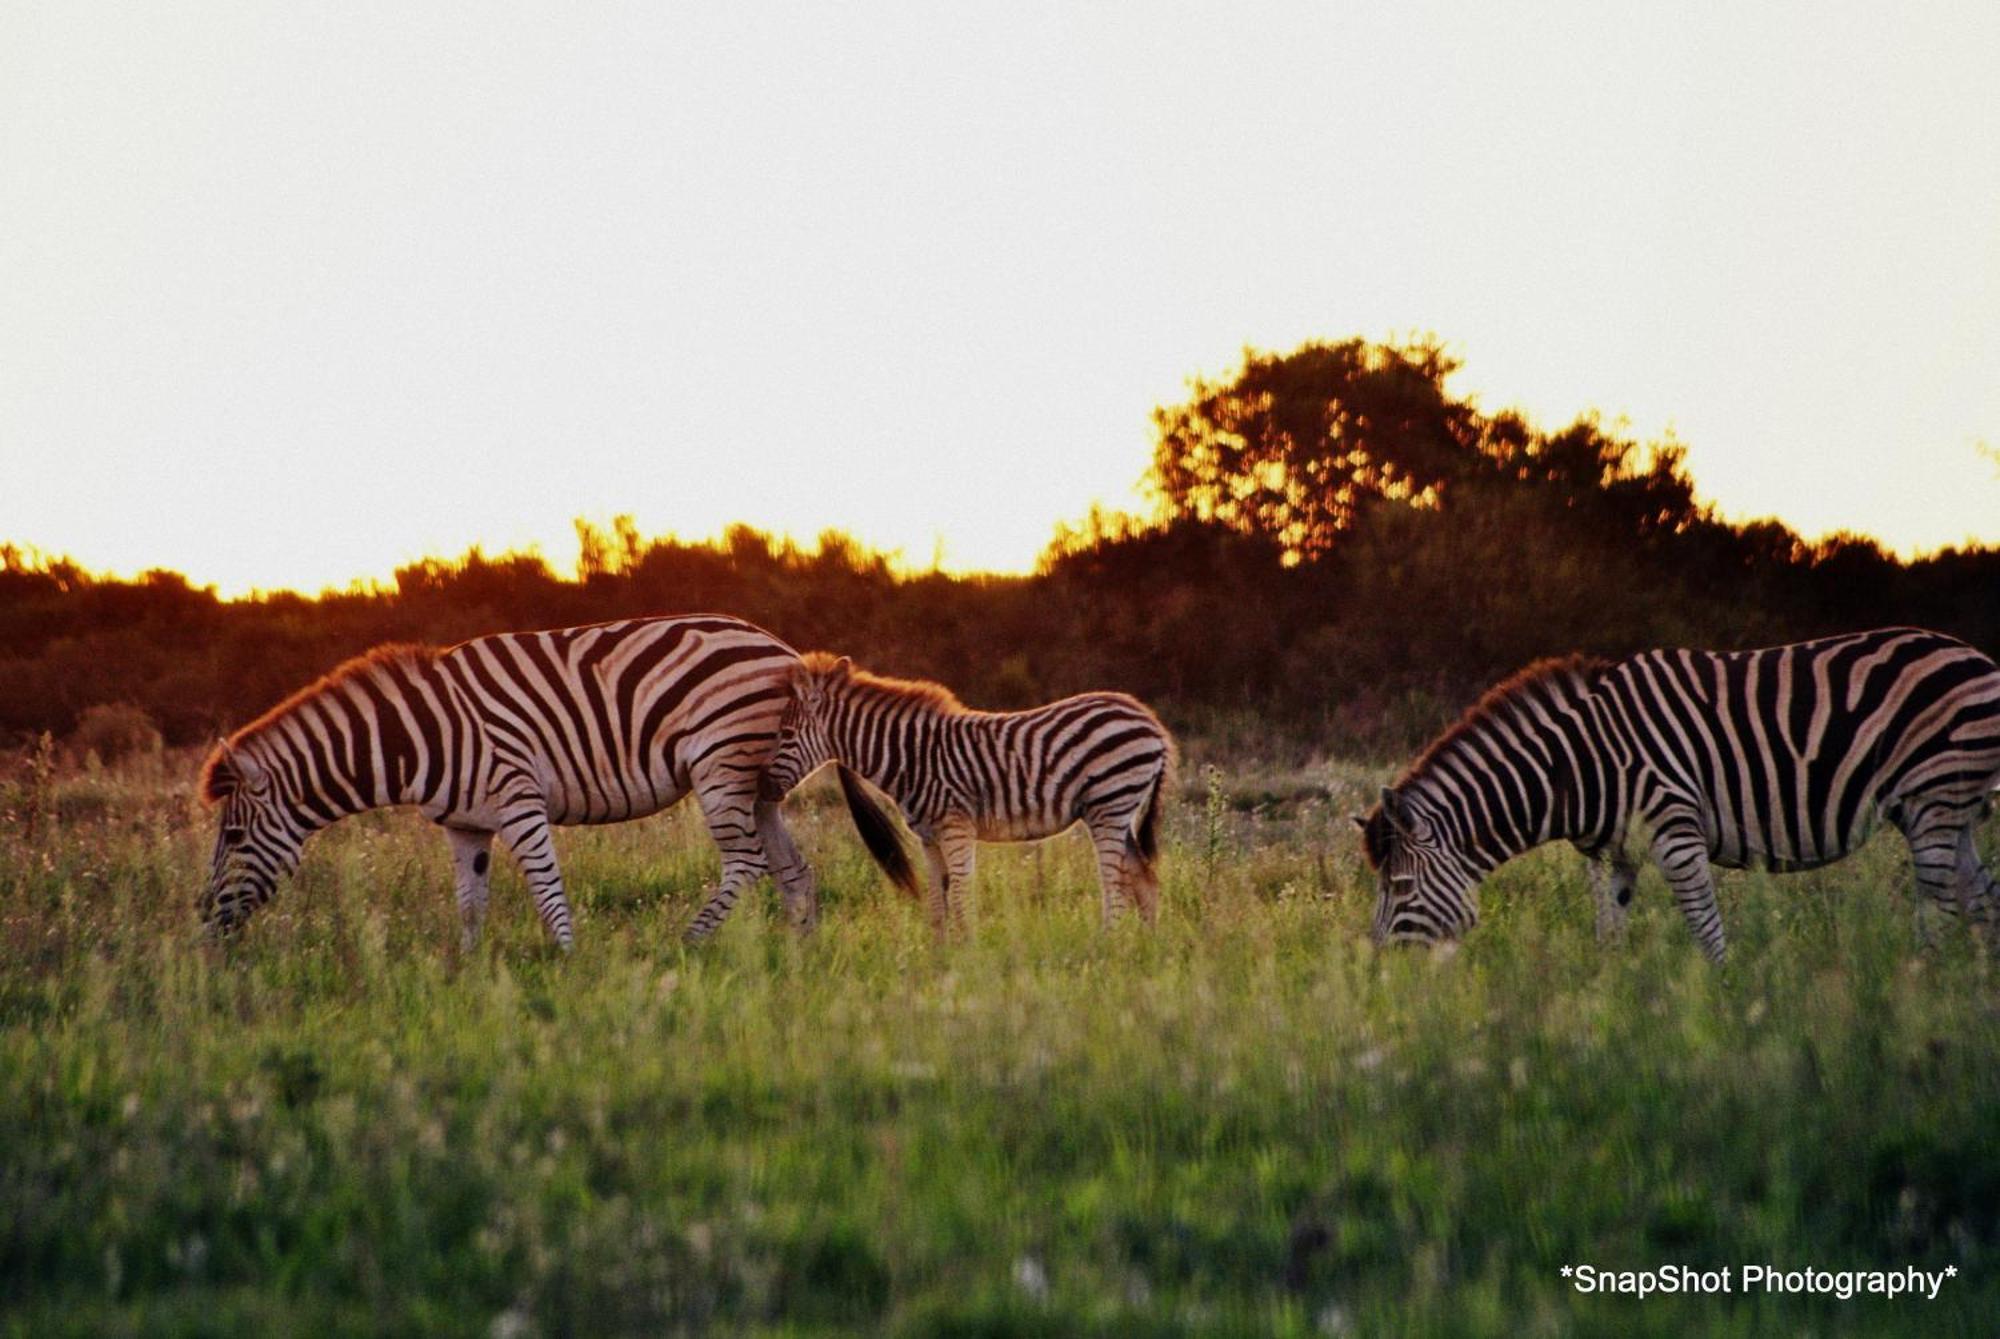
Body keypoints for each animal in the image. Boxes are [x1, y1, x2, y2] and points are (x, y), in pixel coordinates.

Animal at [197, 619, 908, 955]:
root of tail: (784, 652)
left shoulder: (518, 797)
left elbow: (546, 888)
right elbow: (471, 903)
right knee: (793, 870)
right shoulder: (466, 825)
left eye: (233, 834)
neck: (423, 736)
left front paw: (567, 963)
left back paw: (690, 943)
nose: (202, 921)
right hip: (758, 783)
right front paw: (469, 975)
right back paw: (800, 956)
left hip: (719, 764)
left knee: (747, 862)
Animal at [756, 655, 1176, 939]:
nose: (761, 788)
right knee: (1144, 878)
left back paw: (1107, 945)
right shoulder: (927, 837)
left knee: (1115, 882)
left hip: (1110, 803)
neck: (911, 756)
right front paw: (939, 959)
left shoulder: (956, 826)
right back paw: (1145, 948)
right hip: (1115, 810)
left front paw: (968, 956)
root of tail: (1148, 718)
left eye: (785, 734)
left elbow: (959, 896)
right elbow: (937, 902)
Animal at [1360, 631, 2000, 967]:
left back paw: (1919, 984)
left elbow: (1706, 931)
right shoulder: (1611, 854)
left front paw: (1727, 1007)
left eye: (1401, 887)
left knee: (1939, 906)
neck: (1573, 765)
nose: (1380, 974)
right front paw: (1608, 1012)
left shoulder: (1676, 833)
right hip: (1945, 809)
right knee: (1981, 897)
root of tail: (1975, 655)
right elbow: (1608, 934)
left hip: (1933, 796)